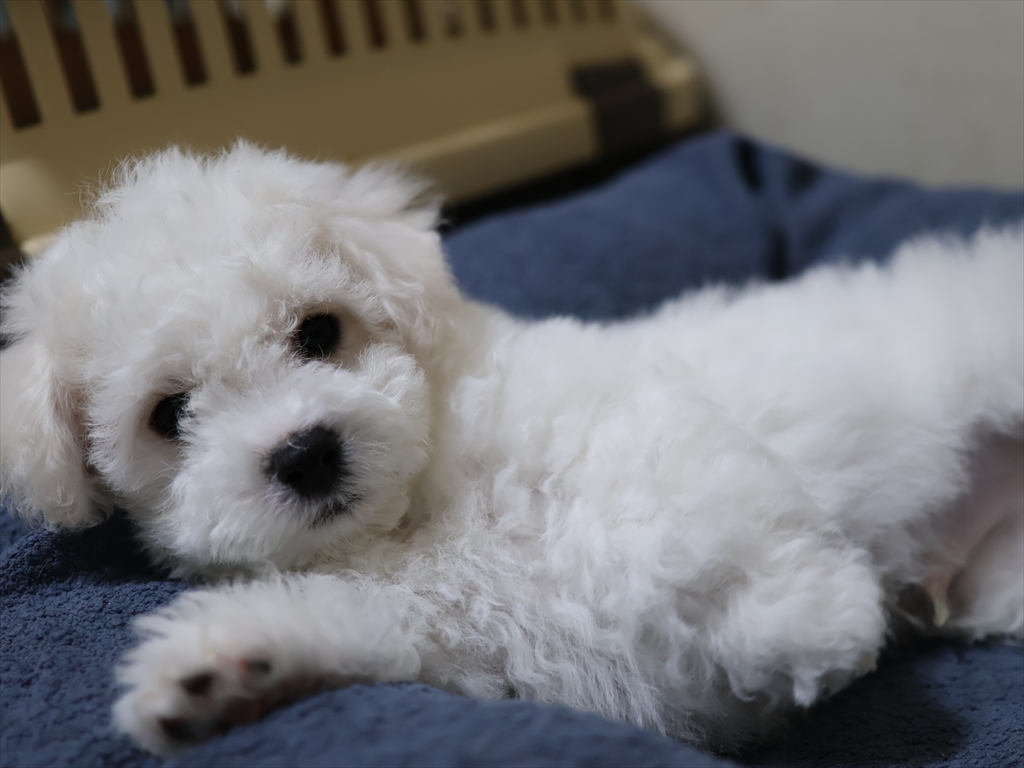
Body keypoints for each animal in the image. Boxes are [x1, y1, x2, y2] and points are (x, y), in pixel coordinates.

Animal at [1, 144, 1021, 756]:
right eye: (168, 414)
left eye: (319, 331)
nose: (305, 451)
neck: (413, 516)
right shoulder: (446, 640)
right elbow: (353, 625)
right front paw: (215, 673)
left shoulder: (622, 421)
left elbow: (685, 525)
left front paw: (811, 616)